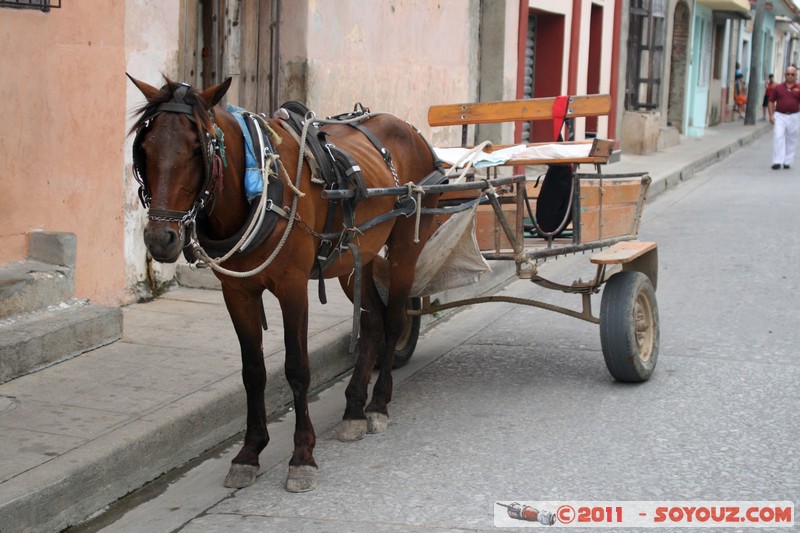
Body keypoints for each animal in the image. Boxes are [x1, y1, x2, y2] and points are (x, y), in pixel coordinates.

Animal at [128, 75, 446, 490]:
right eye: (145, 148)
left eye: (198, 148)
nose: (159, 239)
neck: (259, 188)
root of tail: (411, 130)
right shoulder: (238, 292)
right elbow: (253, 371)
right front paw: (248, 453)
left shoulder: (293, 287)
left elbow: (297, 368)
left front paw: (302, 456)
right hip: (352, 258)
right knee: (373, 323)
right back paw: (354, 410)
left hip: (406, 244)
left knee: (394, 320)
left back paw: (377, 405)